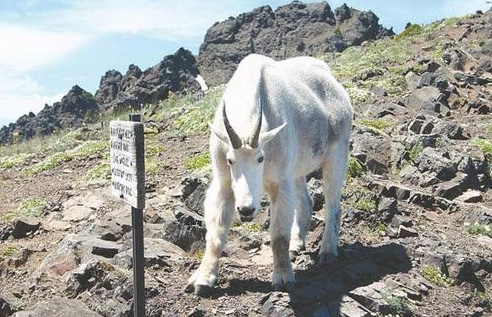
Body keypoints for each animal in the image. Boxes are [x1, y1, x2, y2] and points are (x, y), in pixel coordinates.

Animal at [185, 52, 354, 294]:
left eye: (260, 158)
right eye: (230, 160)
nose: (246, 209)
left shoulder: (279, 182)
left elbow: (278, 236)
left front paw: (283, 278)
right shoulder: (224, 181)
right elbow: (216, 232)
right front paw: (203, 279)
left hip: (337, 152)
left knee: (333, 204)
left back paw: (328, 251)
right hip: (297, 167)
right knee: (306, 200)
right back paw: (297, 243)